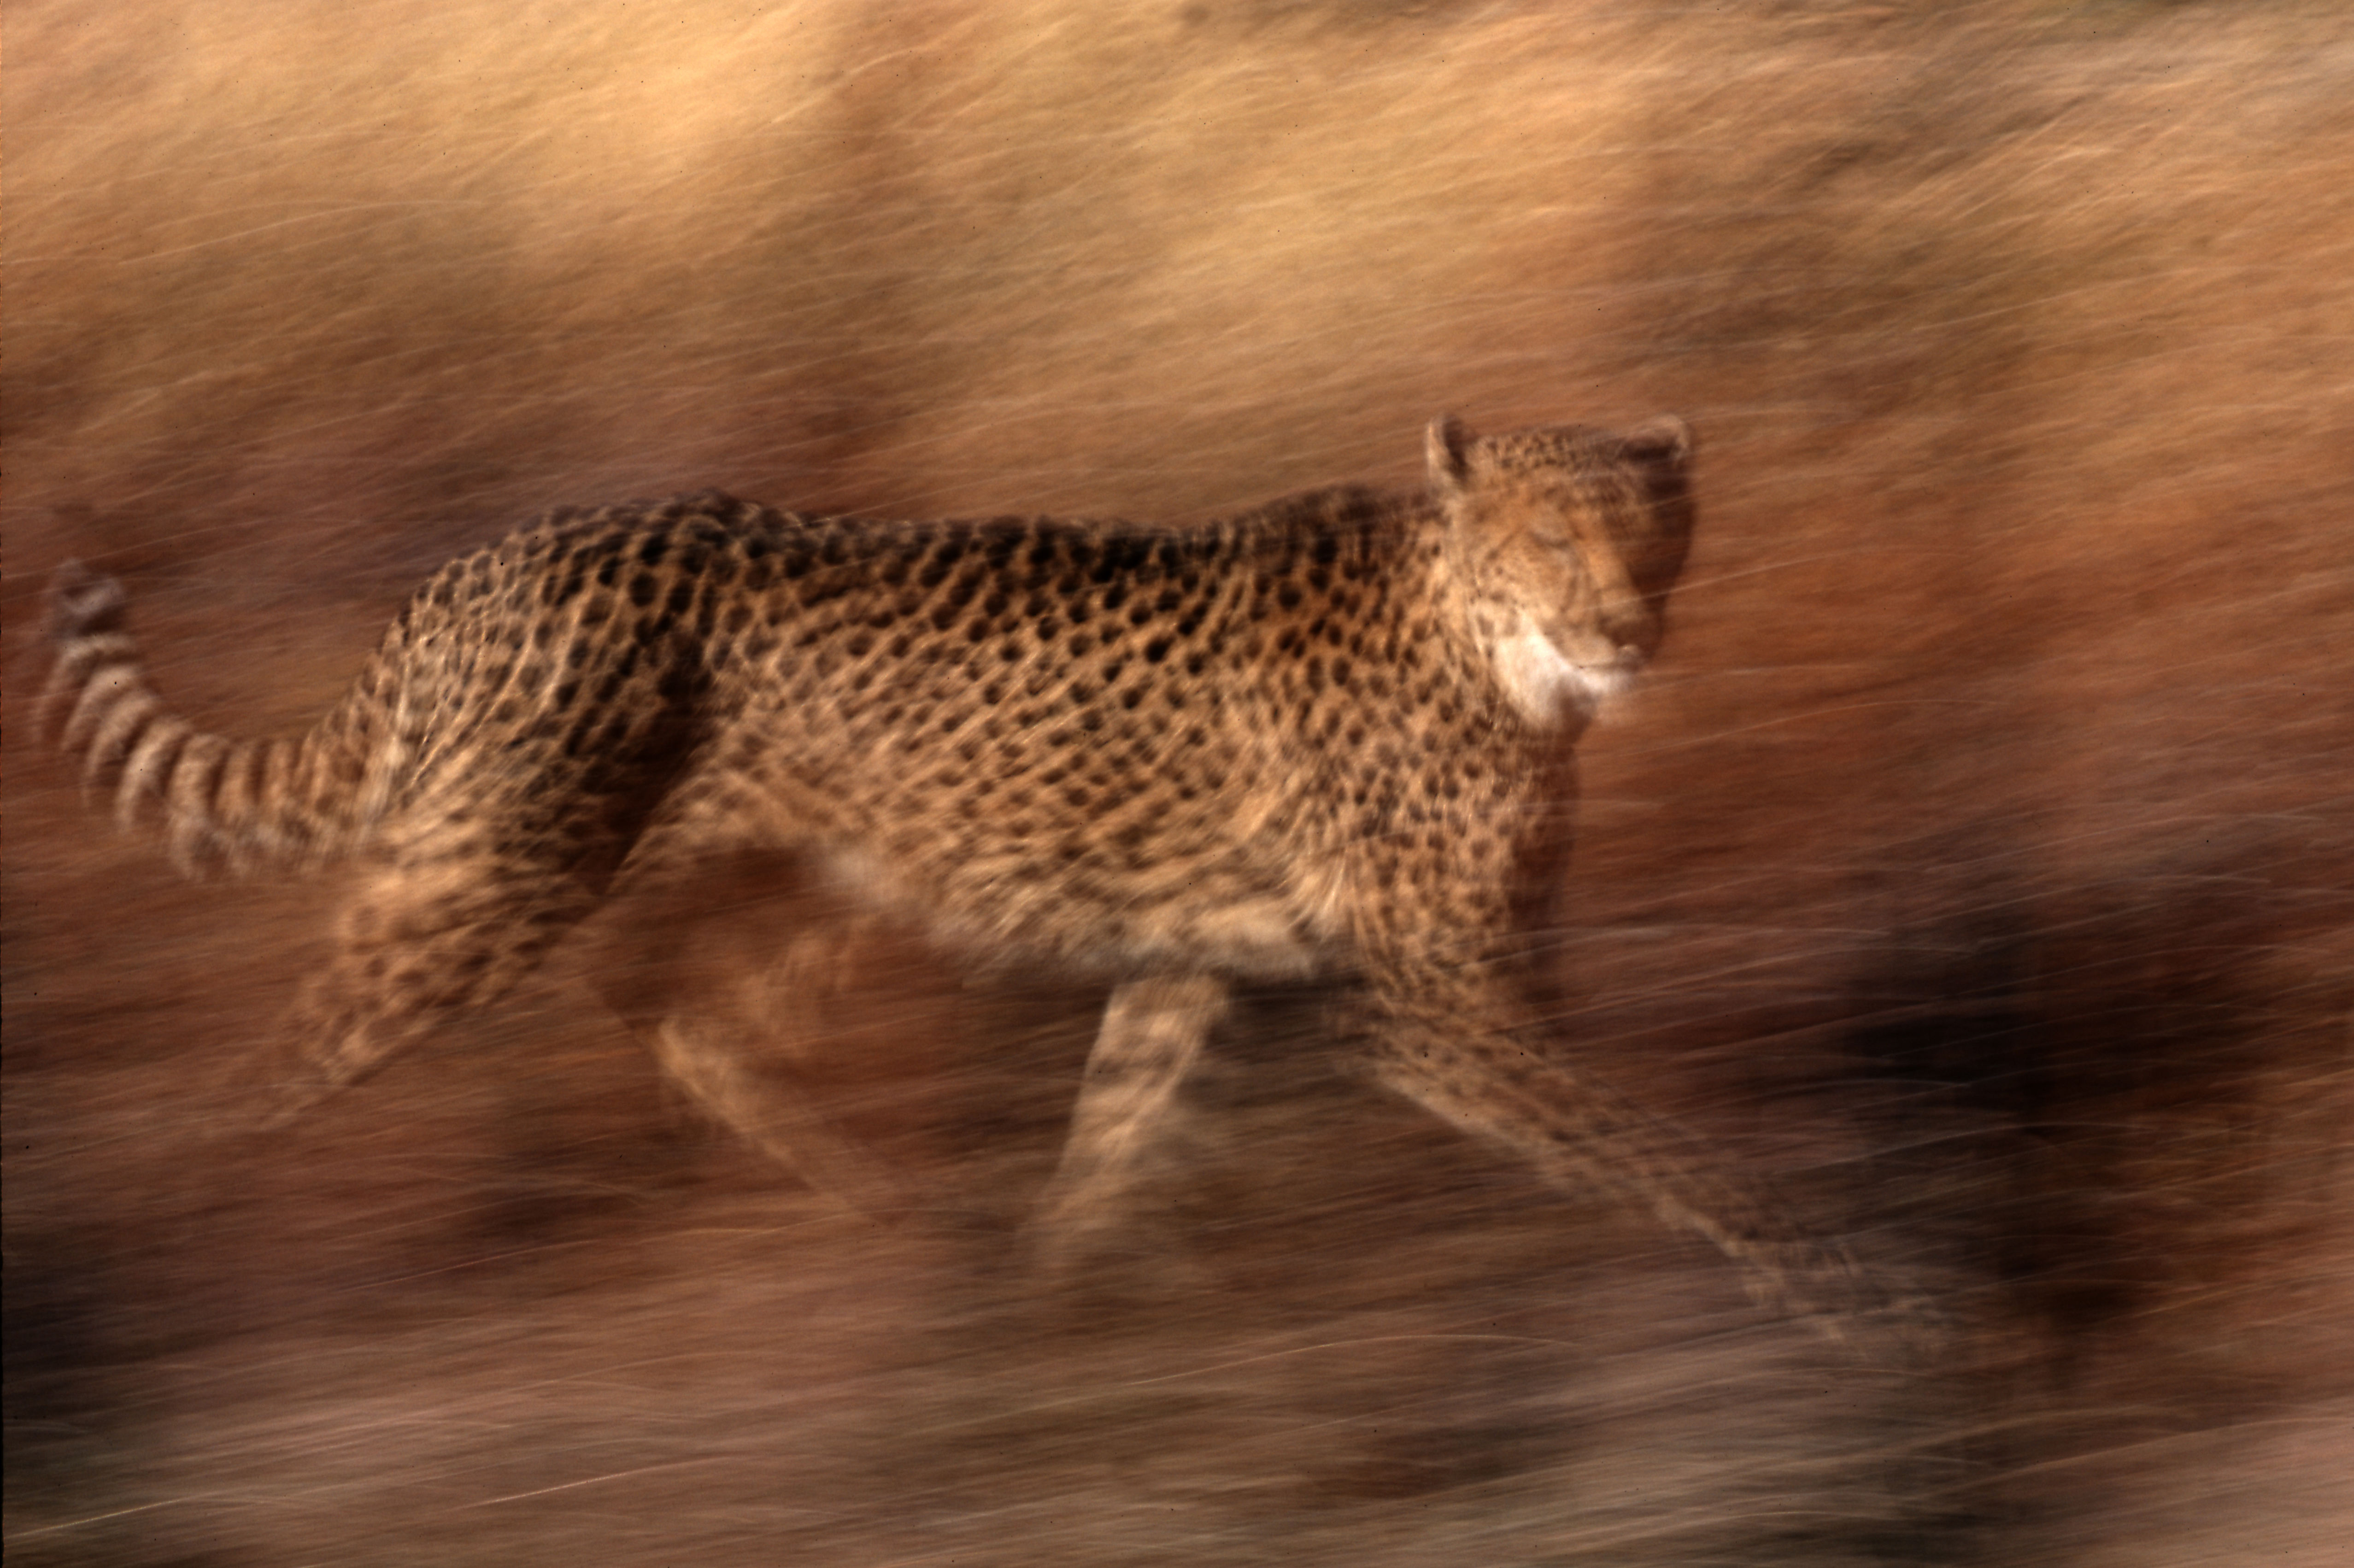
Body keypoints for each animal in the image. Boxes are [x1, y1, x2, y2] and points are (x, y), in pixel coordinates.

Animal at [42, 413, 1907, 1347]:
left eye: (1649, 534)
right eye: (1544, 538)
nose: (1623, 629)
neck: (1481, 640)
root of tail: (483, 555)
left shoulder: (1197, 960)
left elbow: (1125, 1129)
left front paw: (1062, 1297)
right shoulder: (1429, 997)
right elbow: (1643, 1139)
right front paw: (1827, 1271)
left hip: (803, 877)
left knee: (674, 1012)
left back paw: (903, 1217)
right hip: (484, 880)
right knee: (283, 1058)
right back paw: (145, 1248)